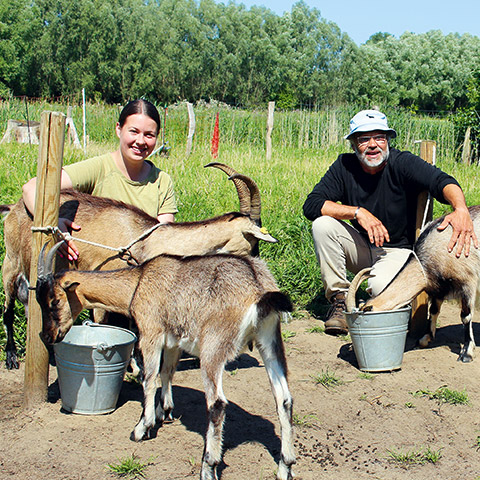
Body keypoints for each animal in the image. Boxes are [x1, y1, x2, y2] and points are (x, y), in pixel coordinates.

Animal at [0, 163, 278, 370]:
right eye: (254, 241)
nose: (257, 261)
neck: (145, 240)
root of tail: (14, 207)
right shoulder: (100, 286)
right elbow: (107, 323)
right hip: (11, 264)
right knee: (8, 307)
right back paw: (12, 357)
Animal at [35, 244, 294, 480]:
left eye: (54, 301)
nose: (47, 336)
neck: (138, 283)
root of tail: (258, 290)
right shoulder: (173, 341)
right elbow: (167, 372)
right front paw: (165, 411)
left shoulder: (151, 333)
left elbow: (149, 378)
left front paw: (143, 427)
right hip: (269, 340)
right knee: (284, 399)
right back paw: (285, 467)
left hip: (214, 346)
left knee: (217, 403)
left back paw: (208, 466)